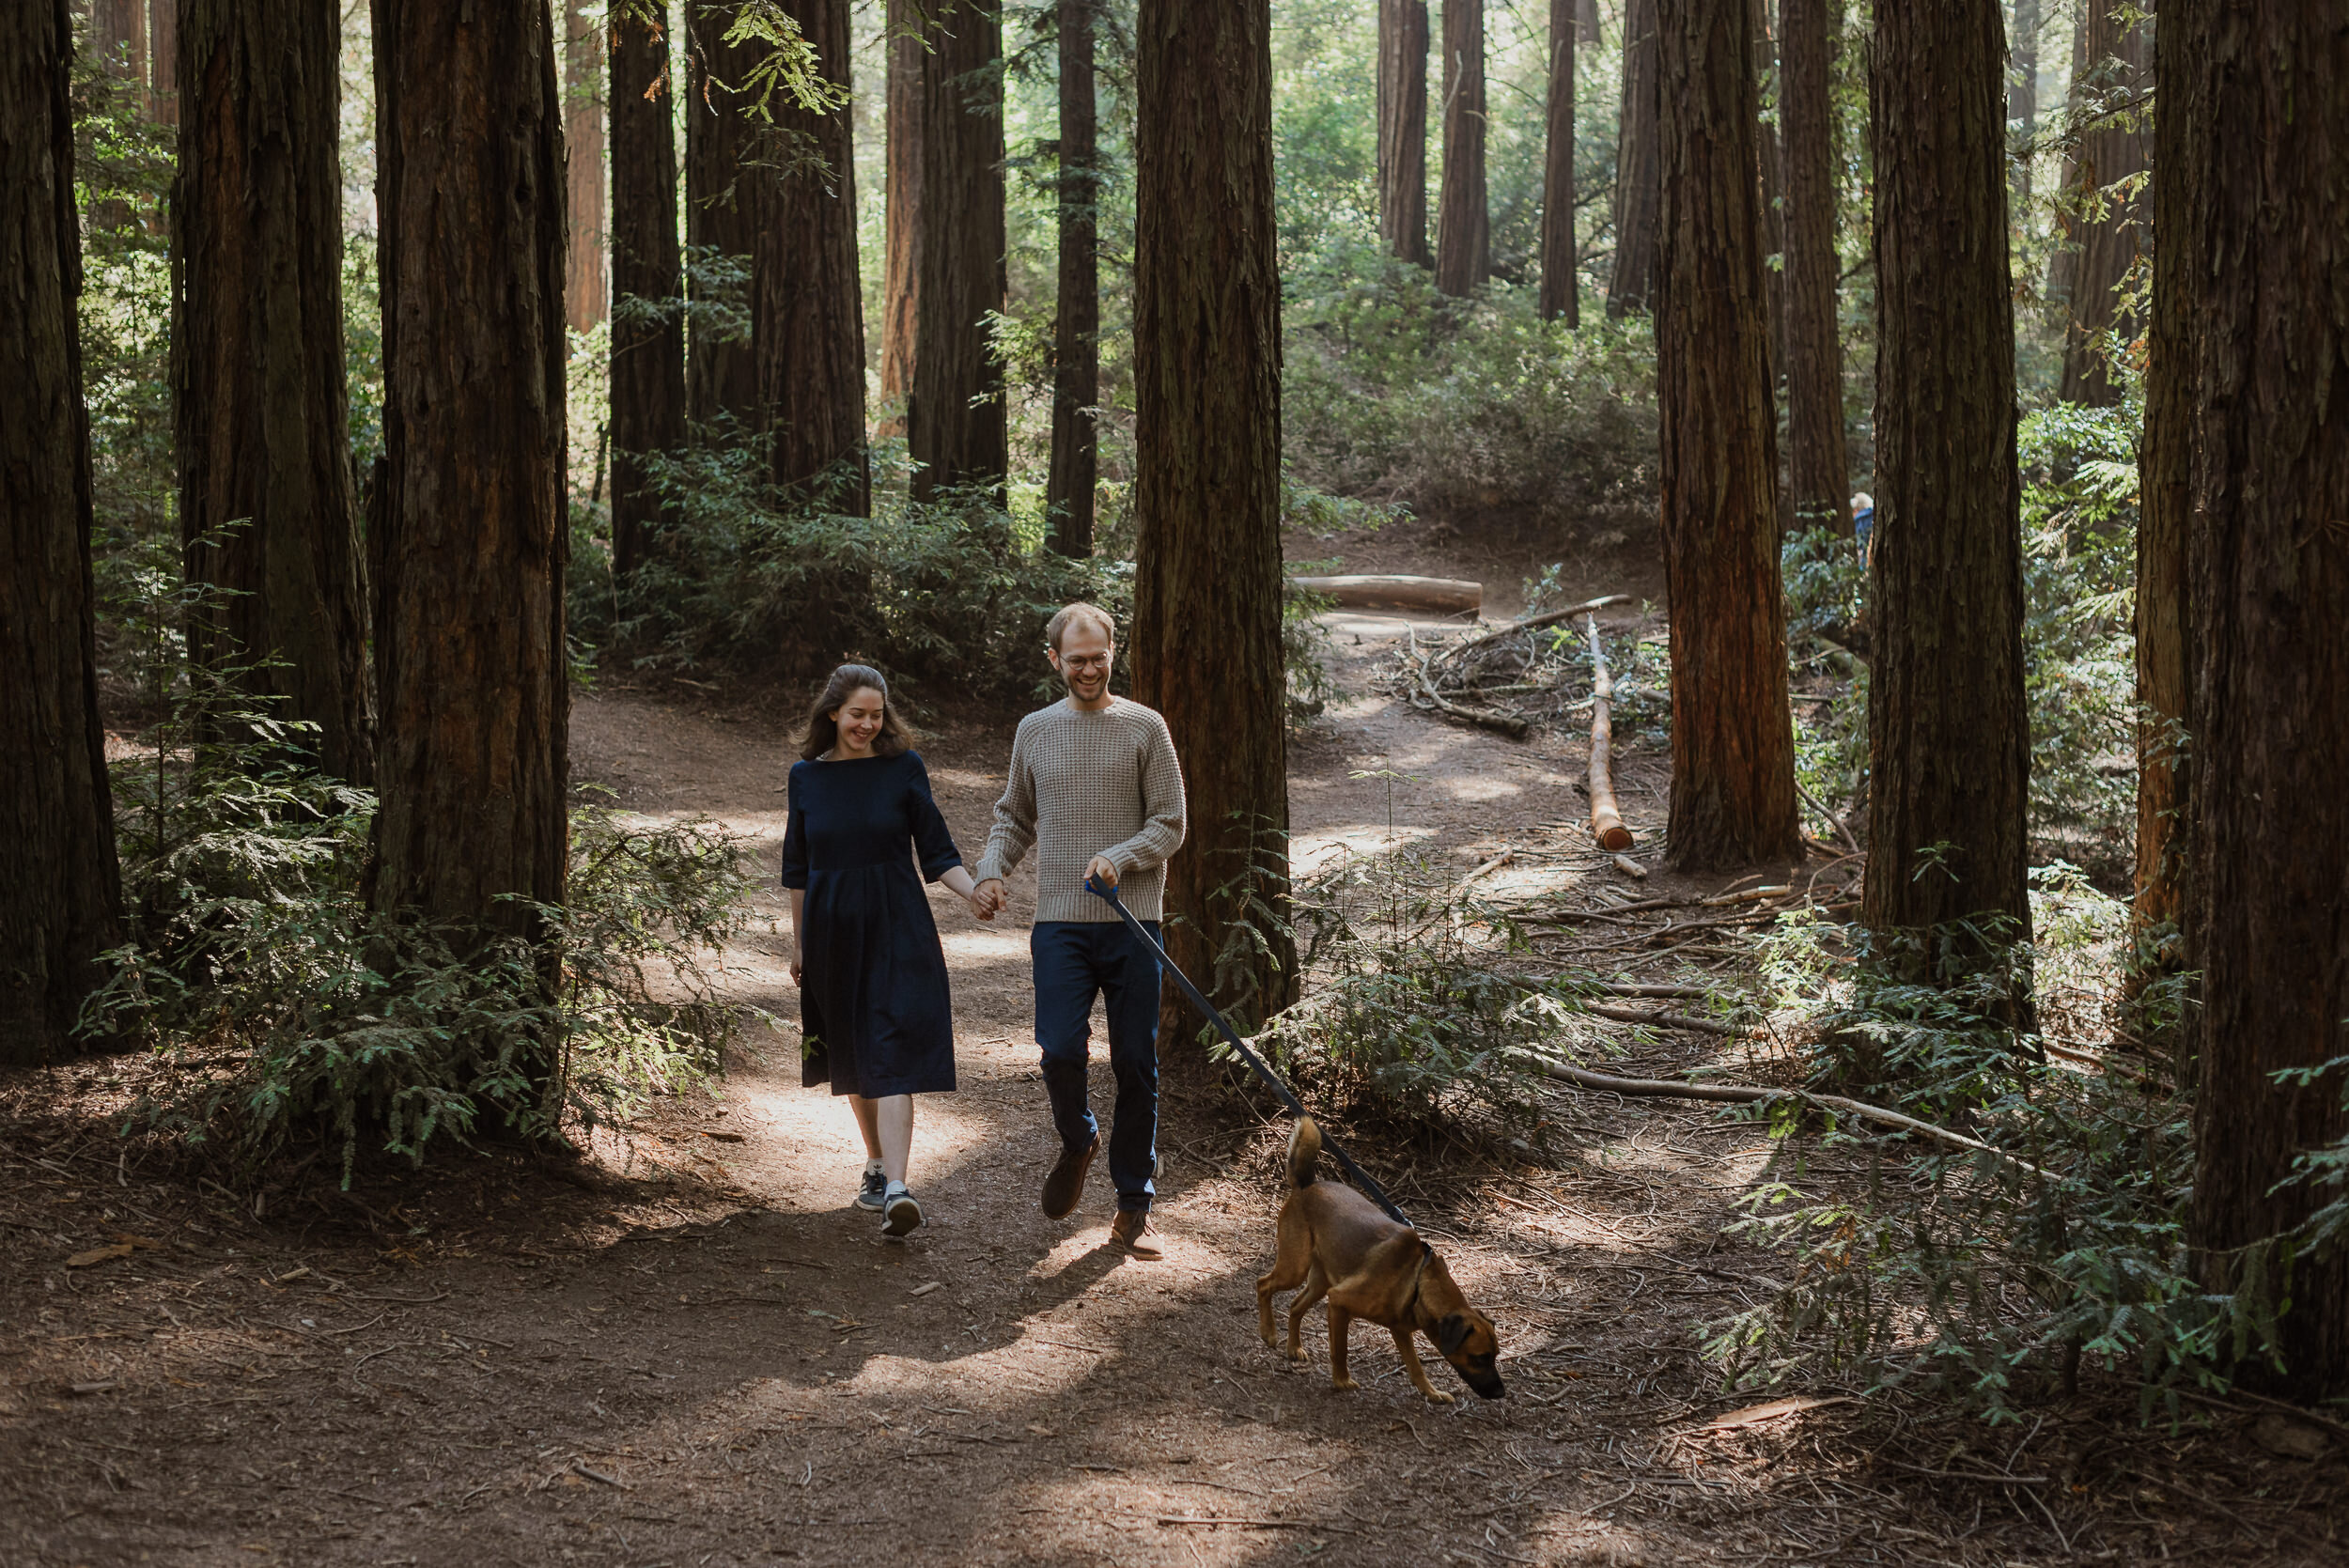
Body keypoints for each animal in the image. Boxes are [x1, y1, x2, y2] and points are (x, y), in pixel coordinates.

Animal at [1250, 1122, 1503, 1399]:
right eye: (1480, 1357)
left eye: (1495, 1356)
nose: (1501, 1393)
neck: (1416, 1282)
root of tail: (1306, 1186)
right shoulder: (1339, 1303)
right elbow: (1341, 1350)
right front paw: (1342, 1380)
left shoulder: (1400, 1330)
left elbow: (1416, 1368)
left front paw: (1432, 1393)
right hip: (1295, 1269)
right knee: (1263, 1284)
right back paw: (1268, 1333)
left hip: (1320, 1282)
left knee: (1295, 1306)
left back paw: (1293, 1347)